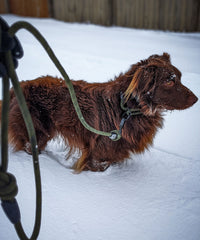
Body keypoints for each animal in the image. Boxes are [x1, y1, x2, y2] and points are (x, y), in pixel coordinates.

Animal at [1, 53, 198, 172]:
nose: (196, 99)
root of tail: (18, 87)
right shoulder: (99, 153)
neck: (126, 108)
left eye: (180, 78)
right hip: (35, 131)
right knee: (28, 146)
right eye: (169, 81)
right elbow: (98, 165)